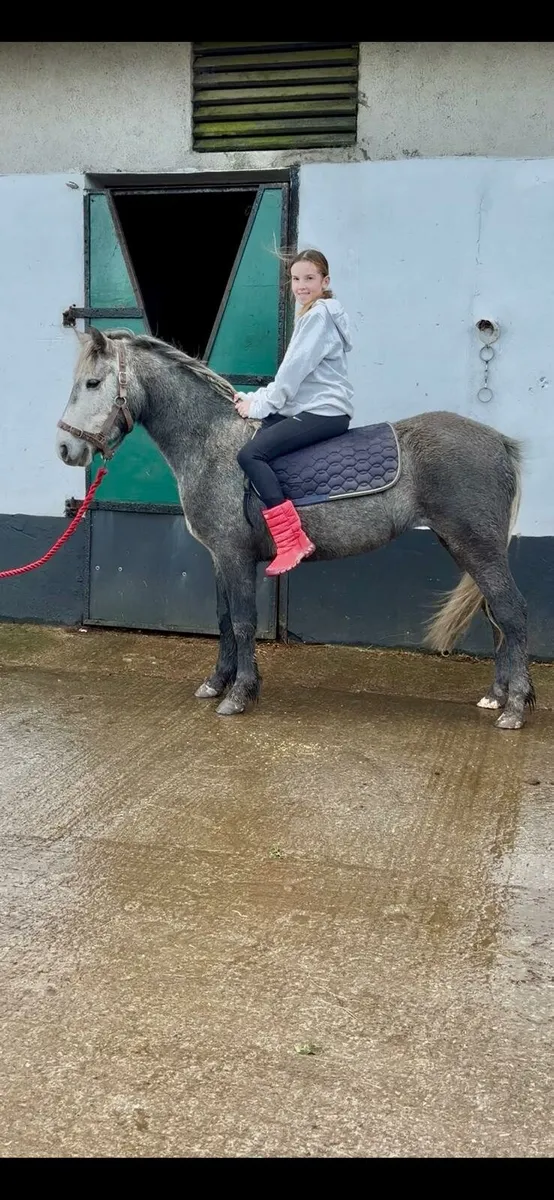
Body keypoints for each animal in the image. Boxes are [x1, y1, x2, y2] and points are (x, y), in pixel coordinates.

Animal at [56, 327, 535, 730]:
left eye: (93, 384)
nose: (65, 448)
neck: (212, 442)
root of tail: (499, 441)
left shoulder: (234, 555)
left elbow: (244, 622)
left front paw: (240, 694)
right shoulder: (218, 557)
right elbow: (224, 620)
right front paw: (217, 682)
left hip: (477, 546)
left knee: (511, 612)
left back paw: (515, 706)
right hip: (463, 546)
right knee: (495, 616)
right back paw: (497, 696)